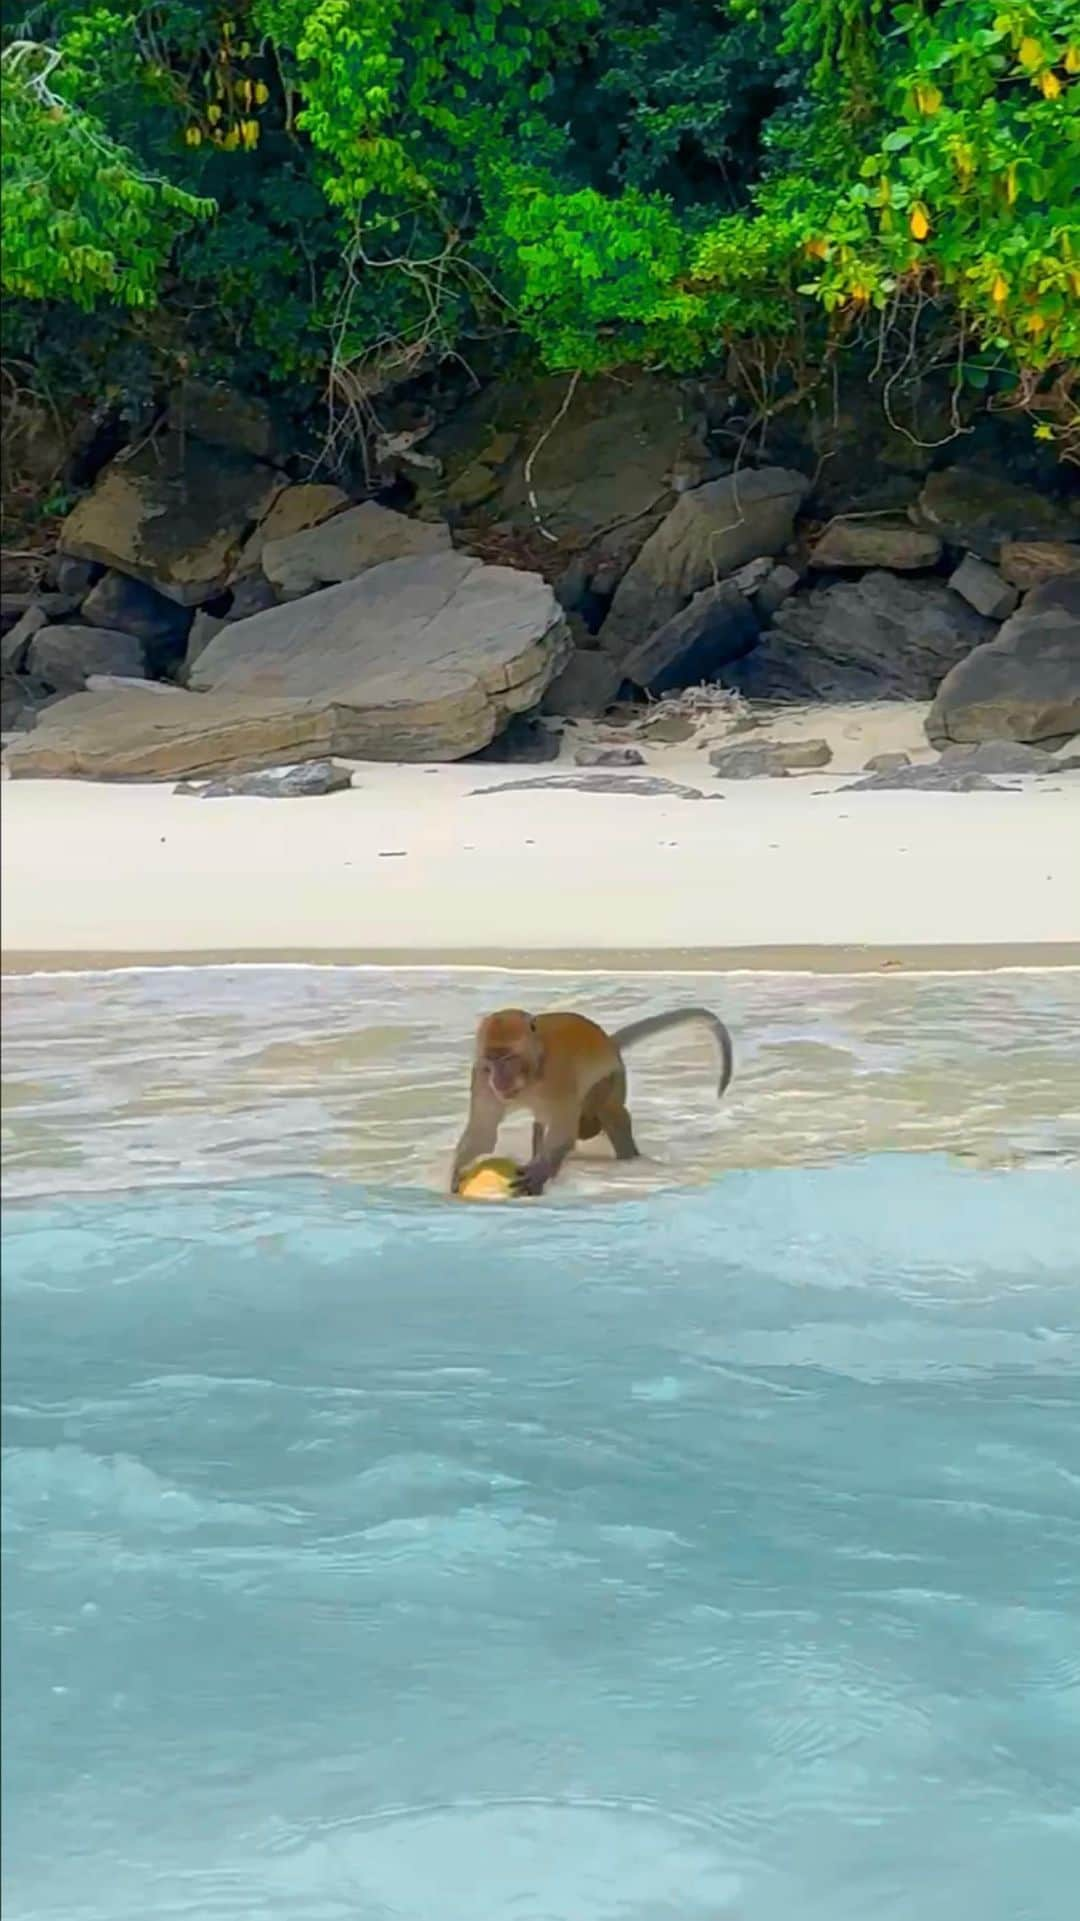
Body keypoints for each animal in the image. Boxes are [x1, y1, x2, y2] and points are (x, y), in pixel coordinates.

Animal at [445, 1006, 730, 1198]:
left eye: (508, 1058)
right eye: (491, 1060)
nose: (499, 1079)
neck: (532, 1073)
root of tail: (608, 1042)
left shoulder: (559, 1072)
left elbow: (564, 1131)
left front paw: (540, 1171)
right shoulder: (481, 1080)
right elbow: (484, 1133)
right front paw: (457, 1172)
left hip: (612, 1079)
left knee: (606, 1115)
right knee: (545, 1122)